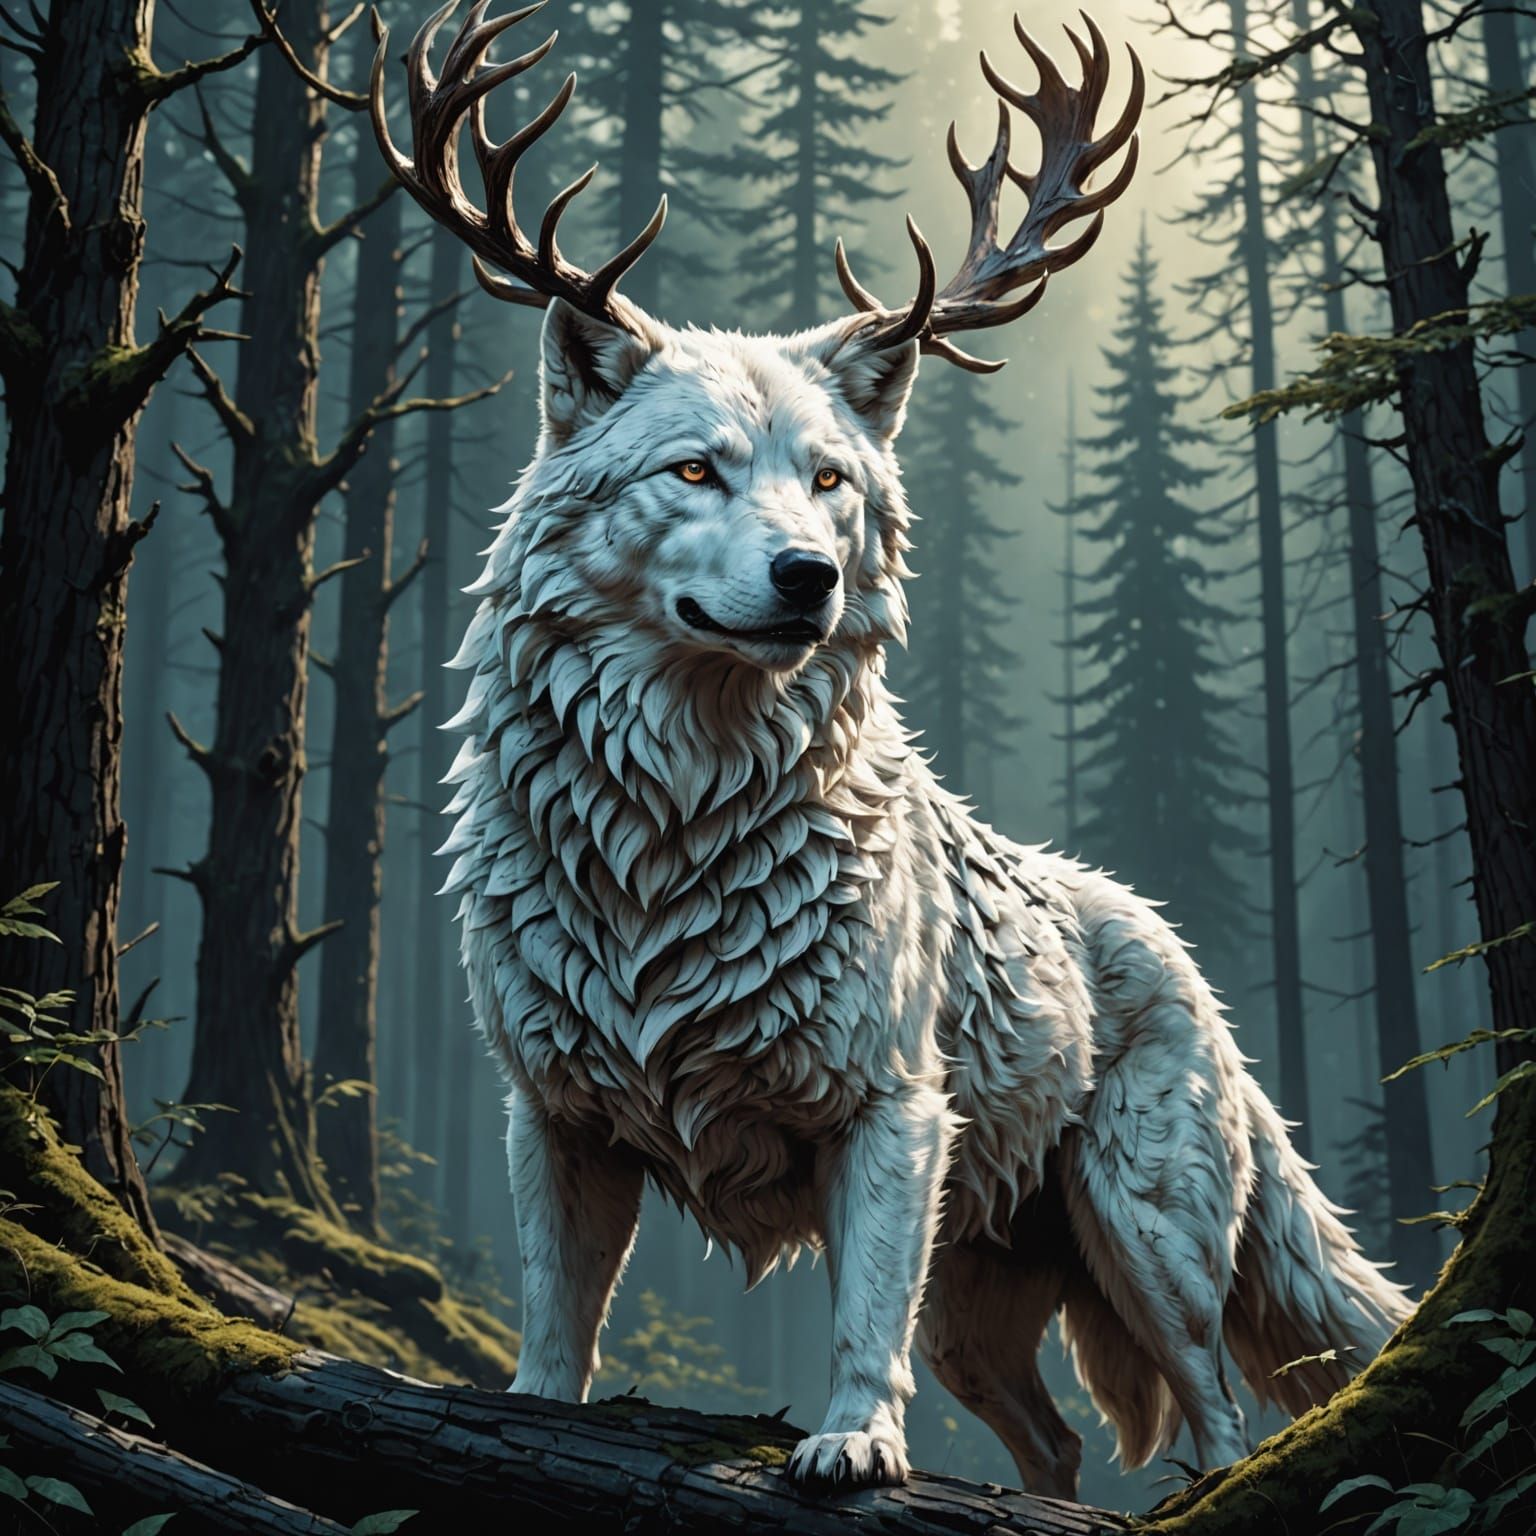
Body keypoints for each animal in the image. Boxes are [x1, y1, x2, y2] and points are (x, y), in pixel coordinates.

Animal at [373, 0, 1413, 1496]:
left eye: (830, 480)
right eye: (695, 469)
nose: (807, 578)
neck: (671, 831)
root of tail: (1179, 953)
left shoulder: (892, 1114)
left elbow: (861, 1320)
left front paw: (852, 1443)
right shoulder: (552, 1114)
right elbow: (557, 1323)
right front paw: (528, 1418)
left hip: (1141, 1234)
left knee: (1219, 1414)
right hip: (980, 1301)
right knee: (1056, 1443)